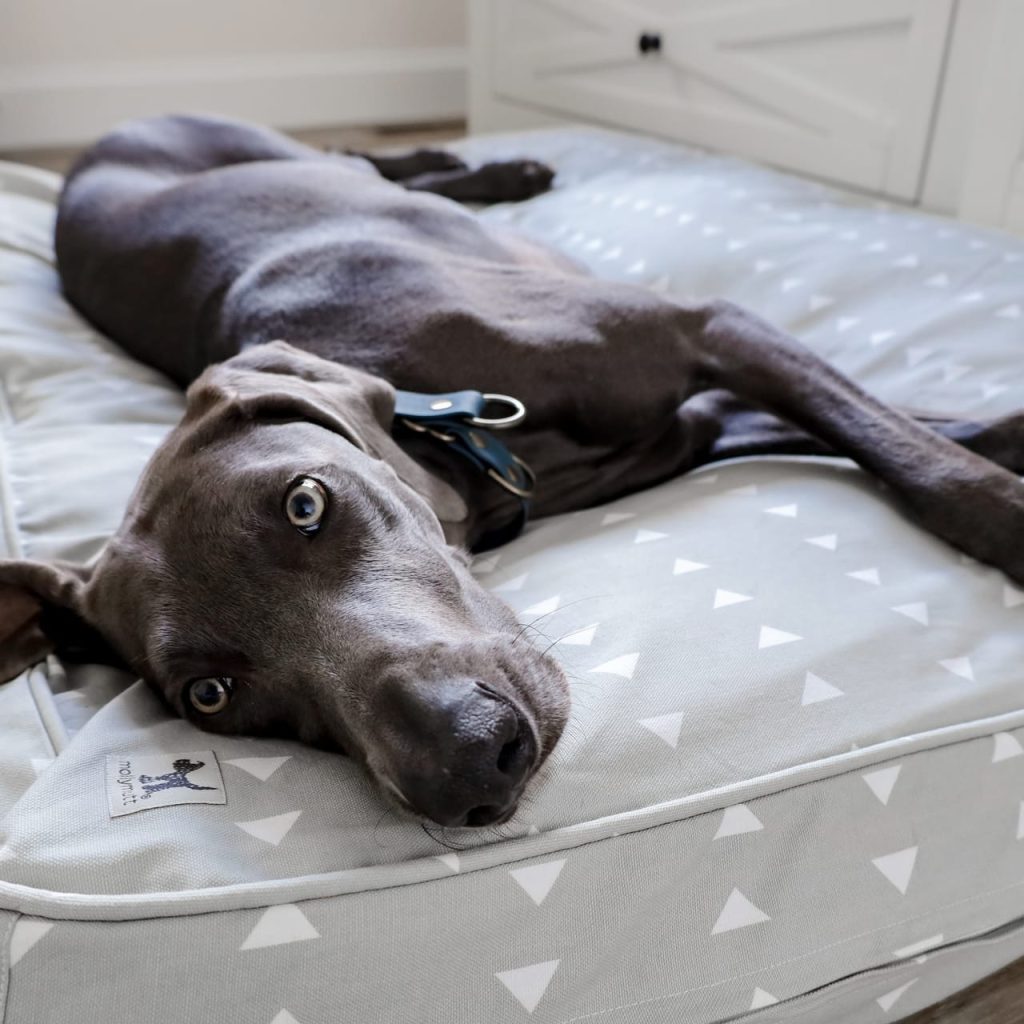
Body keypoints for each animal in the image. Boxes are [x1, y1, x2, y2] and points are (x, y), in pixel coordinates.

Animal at [2, 114, 1024, 831]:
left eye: (304, 503)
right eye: (209, 697)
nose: (463, 761)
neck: (453, 431)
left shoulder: (709, 325)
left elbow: (908, 449)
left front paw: (1000, 486)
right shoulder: (693, 427)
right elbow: (878, 431)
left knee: (354, 156)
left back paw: (496, 171)